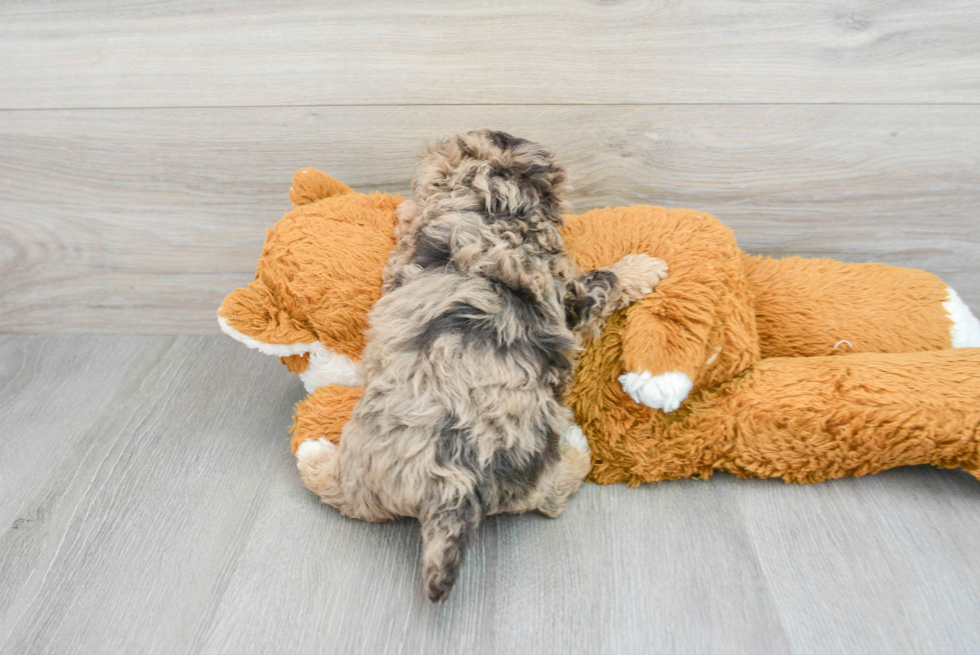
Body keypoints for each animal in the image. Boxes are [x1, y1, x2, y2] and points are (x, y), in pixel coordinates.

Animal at [296, 131, 668, 604]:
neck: (491, 208)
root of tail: (452, 485)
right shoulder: (569, 296)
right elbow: (605, 281)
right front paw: (644, 265)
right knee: (548, 499)